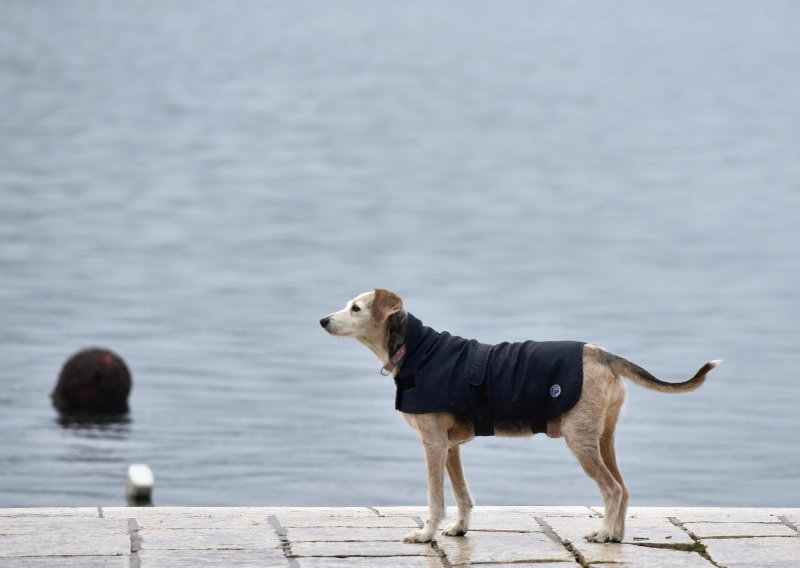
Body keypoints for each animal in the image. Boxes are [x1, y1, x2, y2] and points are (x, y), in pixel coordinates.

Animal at [318, 290, 720, 544]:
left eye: (356, 308)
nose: (322, 320)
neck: (415, 349)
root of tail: (601, 353)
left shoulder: (432, 444)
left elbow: (436, 499)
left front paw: (426, 534)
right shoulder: (450, 448)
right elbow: (462, 494)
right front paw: (459, 529)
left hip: (580, 440)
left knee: (612, 489)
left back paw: (604, 533)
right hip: (603, 437)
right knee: (624, 488)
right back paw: (616, 535)